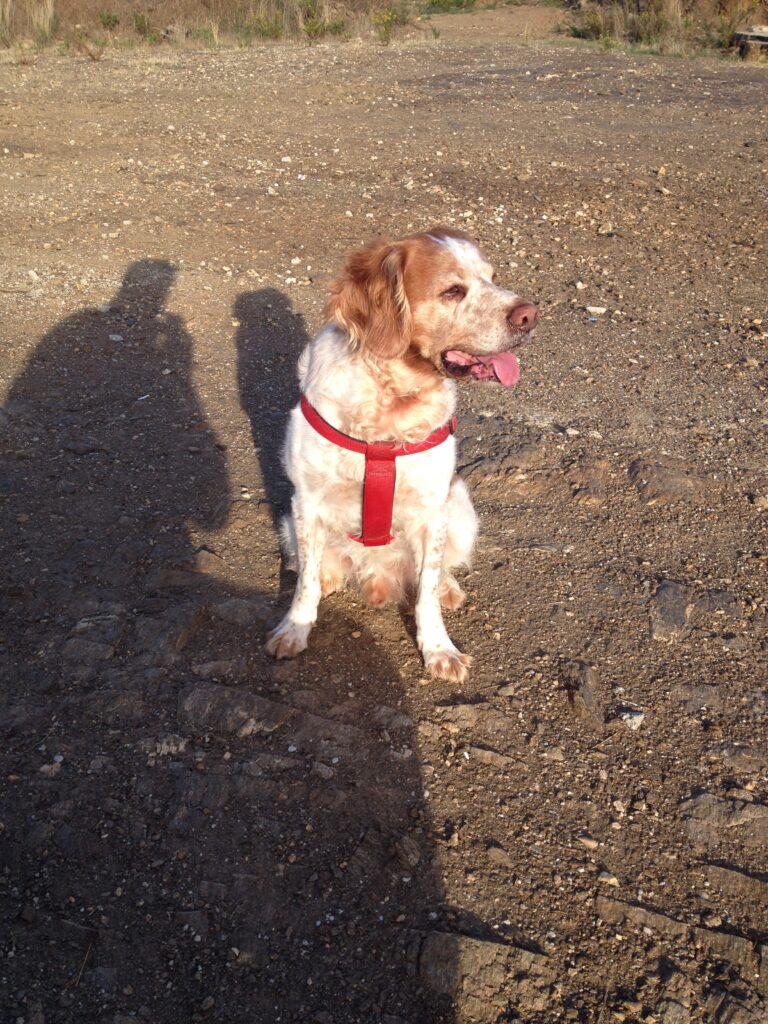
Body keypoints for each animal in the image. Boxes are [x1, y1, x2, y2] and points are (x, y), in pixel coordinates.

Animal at [265, 226, 539, 683]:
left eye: (493, 277)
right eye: (452, 291)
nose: (530, 315)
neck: (392, 399)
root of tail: (376, 578)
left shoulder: (433, 509)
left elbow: (426, 589)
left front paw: (439, 649)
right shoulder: (307, 502)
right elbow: (304, 583)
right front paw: (295, 629)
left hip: (460, 506)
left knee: (441, 569)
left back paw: (448, 588)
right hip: (289, 520)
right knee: (313, 565)